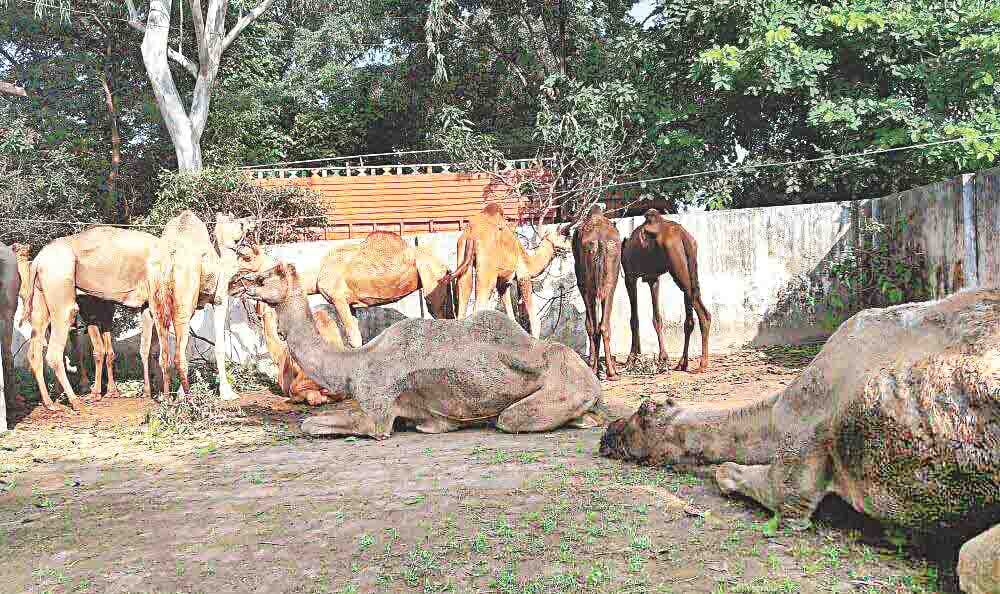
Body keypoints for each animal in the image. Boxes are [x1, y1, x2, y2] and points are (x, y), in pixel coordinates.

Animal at [236, 262, 606, 440]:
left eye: (262, 279)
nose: (239, 283)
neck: (353, 366)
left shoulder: (377, 414)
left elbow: (311, 425)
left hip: (562, 387)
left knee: (510, 418)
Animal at [290, 231, 455, 349]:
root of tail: (445, 266)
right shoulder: (350, 304)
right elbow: (357, 336)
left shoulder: (338, 299)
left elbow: (354, 338)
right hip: (443, 284)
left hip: (431, 278)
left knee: (438, 312)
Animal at [452, 203, 571, 337]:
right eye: (565, 235)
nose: (570, 247)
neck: (528, 261)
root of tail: (472, 234)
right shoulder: (523, 276)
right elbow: (534, 320)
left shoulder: (503, 283)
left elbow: (511, 317)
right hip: (487, 273)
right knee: (479, 305)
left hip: (463, 258)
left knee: (463, 298)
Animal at [569, 206, 622, 380]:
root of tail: (599, 242)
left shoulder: (582, 285)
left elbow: (588, 324)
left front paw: (593, 363)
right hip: (609, 284)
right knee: (603, 325)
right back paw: (611, 372)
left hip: (589, 285)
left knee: (594, 325)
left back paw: (595, 368)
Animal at [621, 209, 711, 372]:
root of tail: (684, 235)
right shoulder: (653, 278)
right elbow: (657, 318)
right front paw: (662, 358)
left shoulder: (630, 277)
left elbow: (634, 319)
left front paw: (631, 359)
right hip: (688, 269)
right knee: (689, 319)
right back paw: (682, 363)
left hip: (678, 271)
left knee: (704, 314)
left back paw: (702, 364)